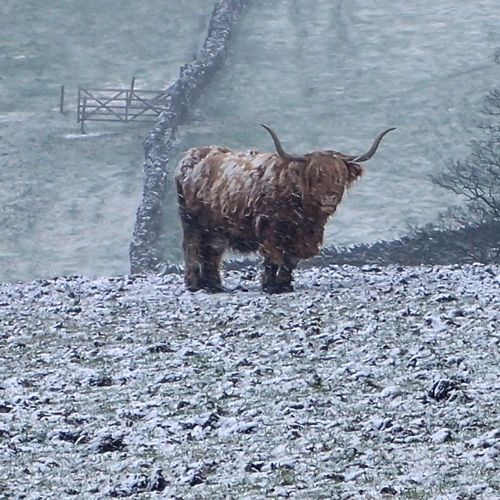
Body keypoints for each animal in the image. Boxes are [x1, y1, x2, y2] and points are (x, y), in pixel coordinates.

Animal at [176, 123, 394, 292]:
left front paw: (285, 285)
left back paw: (214, 285)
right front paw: (270, 287)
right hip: (191, 222)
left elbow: (290, 260)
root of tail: (191, 155)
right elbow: (273, 258)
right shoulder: (269, 229)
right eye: (315, 175)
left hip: (216, 228)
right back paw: (194, 284)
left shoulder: (303, 237)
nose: (329, 199)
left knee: (212, 251)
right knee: (192, 248)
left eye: (339, 176)